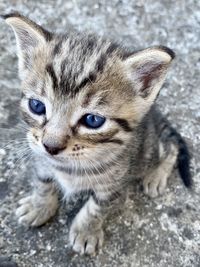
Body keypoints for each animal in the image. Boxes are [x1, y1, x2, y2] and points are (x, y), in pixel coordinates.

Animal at [2, 12, 191, 255]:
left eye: (93, 120)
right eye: (37, 106)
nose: (51, 146)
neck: (69, 168)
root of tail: (156, 115)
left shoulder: (116, 184)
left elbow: (97, 208)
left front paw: (86, 231)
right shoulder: (41, 160)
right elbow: (43, 182)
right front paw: (40, 205)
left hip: (149, 151)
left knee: (171, 147)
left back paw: (156, 175)